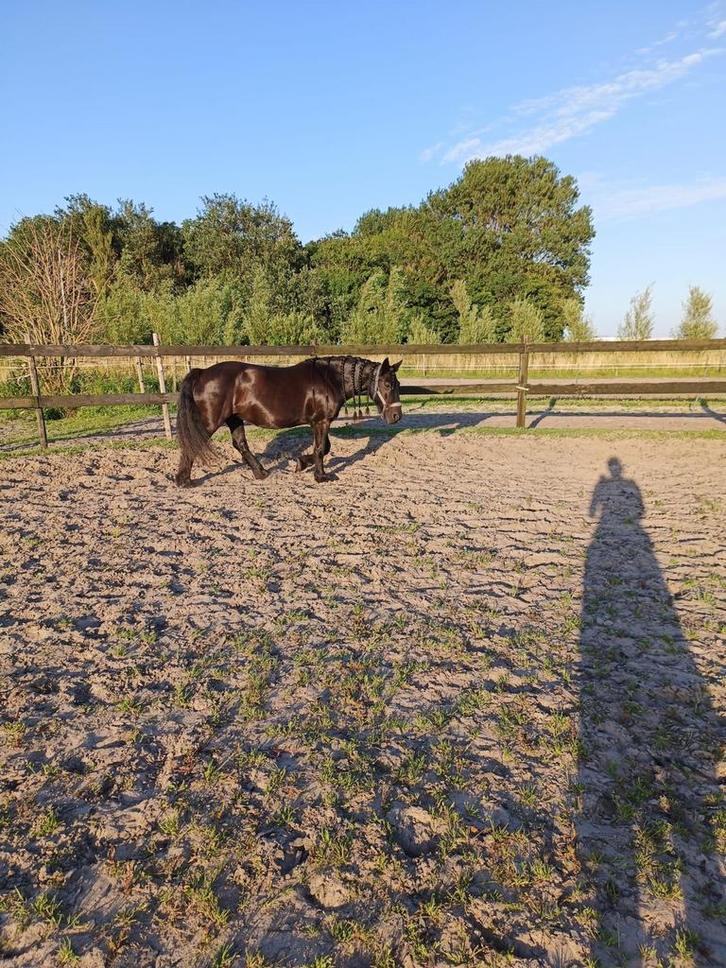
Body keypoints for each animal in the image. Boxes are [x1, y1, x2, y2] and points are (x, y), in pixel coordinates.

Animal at [174, 355, 403, 486]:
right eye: (387, 384)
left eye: (398, 384)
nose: (396, 416)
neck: (329, 378)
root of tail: (202, 372)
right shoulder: (322, 421)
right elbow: (321, 448)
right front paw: (321, 476)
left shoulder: (318, 422)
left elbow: (324, 447)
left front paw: (301, 463)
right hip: (211, 421)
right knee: (193, 445)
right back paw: (183, 480)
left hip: (234, 419)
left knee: (240, 444)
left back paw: (261, 473)